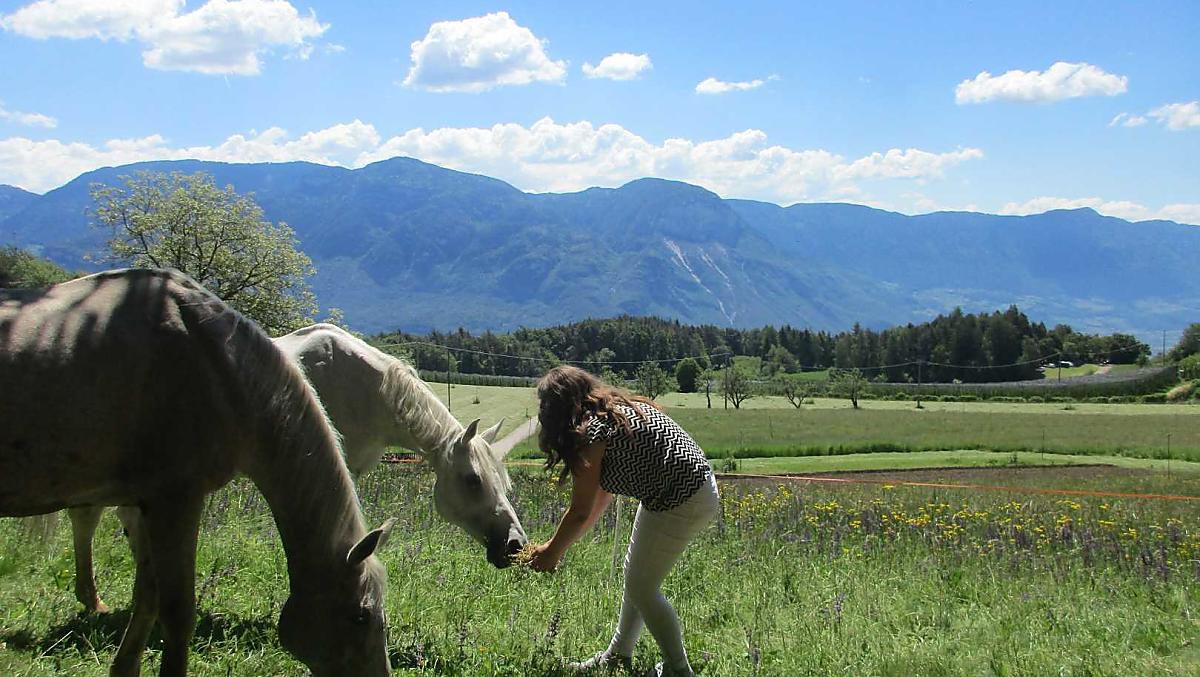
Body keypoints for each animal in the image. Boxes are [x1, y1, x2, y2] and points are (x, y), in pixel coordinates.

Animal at [1, 269, 393, 677]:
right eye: (360, 616)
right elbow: (177, 613)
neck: (218, 370)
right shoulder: (175, 501)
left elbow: (147, 594)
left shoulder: (145, 503)